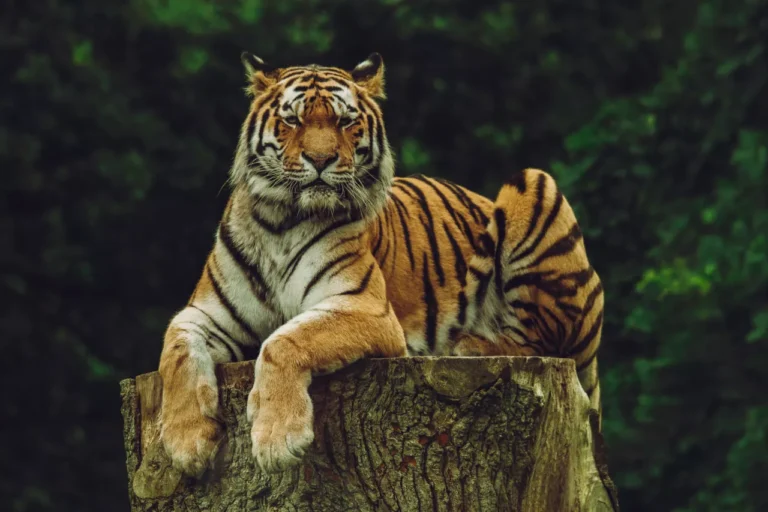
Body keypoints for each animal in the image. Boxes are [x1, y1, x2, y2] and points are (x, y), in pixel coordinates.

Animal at [158, 52, 604, 476]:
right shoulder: (205, 313)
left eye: (345, 121)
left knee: (542, 340)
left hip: (534, 183)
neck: (280, 222)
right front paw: (185, 443)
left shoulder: (364, 307)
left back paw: (469, 344)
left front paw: (278, 440)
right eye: (292, 119)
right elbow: (175, 353)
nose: (320, 159)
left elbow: (284, 340)